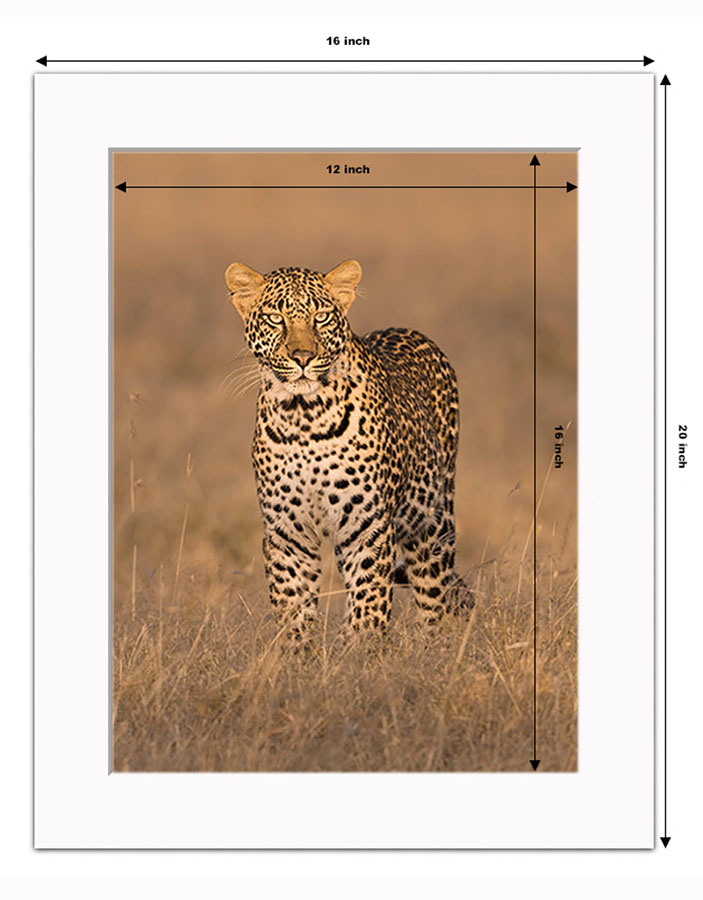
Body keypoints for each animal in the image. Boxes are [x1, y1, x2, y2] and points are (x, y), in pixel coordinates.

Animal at [225, 258, 471, 641]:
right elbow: (292, 609)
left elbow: (369, 602)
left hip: (432, 521)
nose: (303, 357)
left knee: (435, 597)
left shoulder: (366, 525)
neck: (304, 418)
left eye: (322, 316)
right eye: (275, 318)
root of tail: (409, 330)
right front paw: (296, 651)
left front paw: (362, 650)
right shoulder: (287, 531)